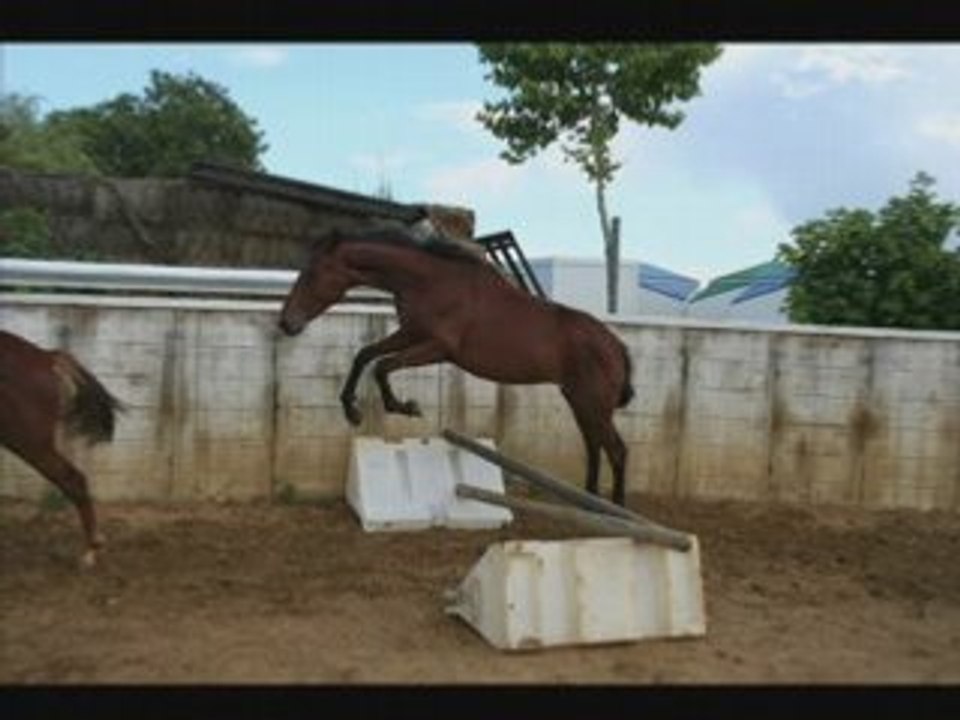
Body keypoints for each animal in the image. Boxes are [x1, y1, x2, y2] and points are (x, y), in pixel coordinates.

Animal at [278, 227, 635, 506]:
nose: (286, 323)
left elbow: (382, 366)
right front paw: (352, 411)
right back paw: (591, 501)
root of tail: (617, 346)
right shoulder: (411, 333)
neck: (428, 281)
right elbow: (366, 355)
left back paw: (619, 511)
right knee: (594, 446)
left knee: (616, 450)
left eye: (311, 274)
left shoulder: (438, 348)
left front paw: (405, 407)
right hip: (579, 400)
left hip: (592, 403)